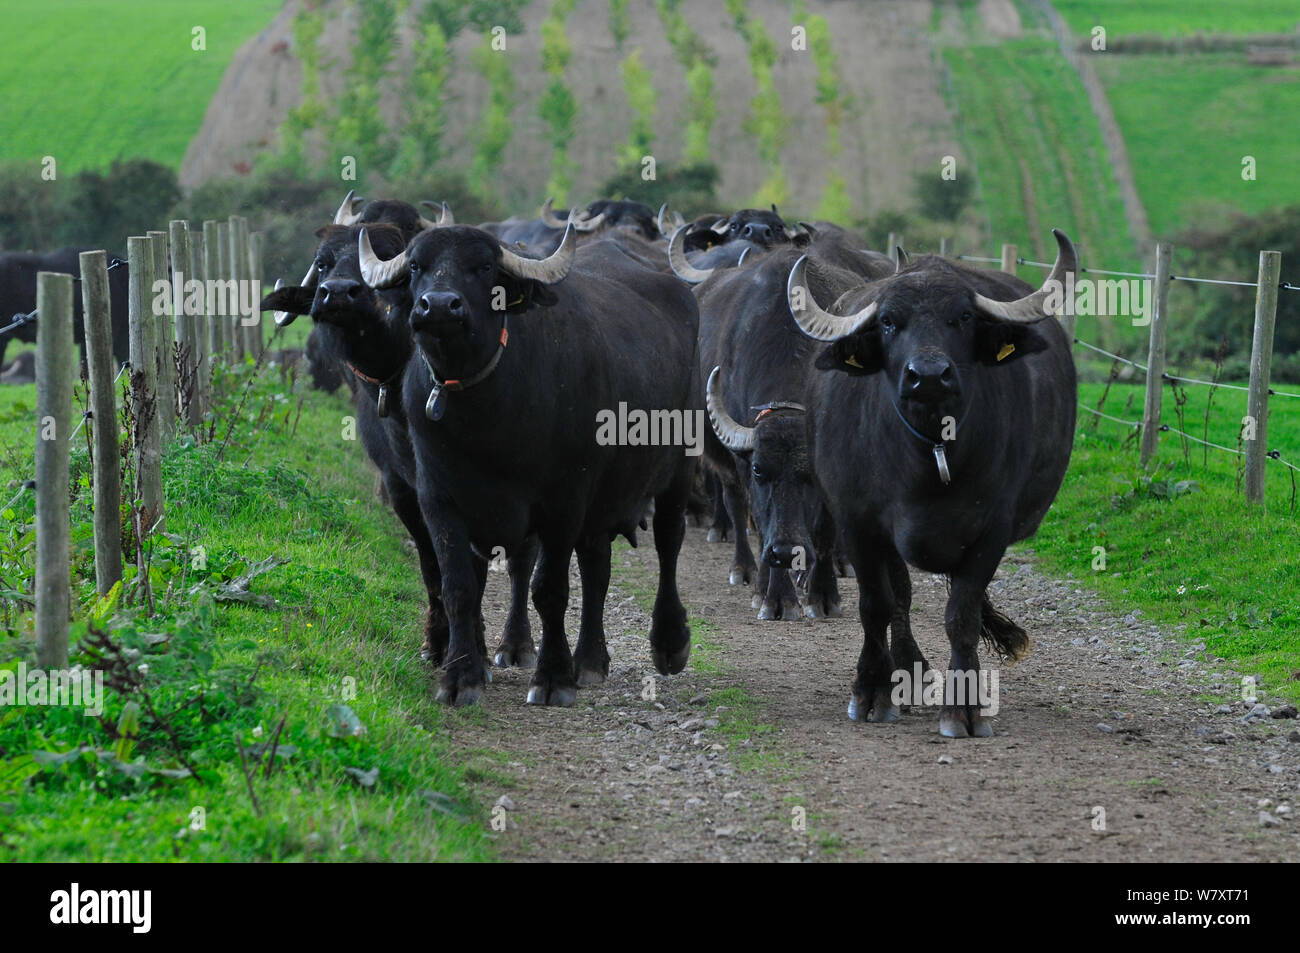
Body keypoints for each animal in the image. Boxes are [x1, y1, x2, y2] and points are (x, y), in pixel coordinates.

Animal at [261, 206, 535, 670]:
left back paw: (516, 646)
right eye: (323, 263)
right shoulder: (403, 487)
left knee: (525, 558)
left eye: (387, 255)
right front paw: (438, 642)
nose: (339, 294)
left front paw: (475, 648)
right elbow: (432, 564)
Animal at [356, 219, 702, 702]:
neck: (484, 417)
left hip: (679, 466)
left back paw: (669, 643)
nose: (438, 306)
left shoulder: (564, 498)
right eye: (417, 267)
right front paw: (461, 676)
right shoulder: (437, 499)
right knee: (597, 567)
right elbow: (458, 585)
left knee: (669, 543)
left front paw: (552, 678)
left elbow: (549, 588)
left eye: (483, 266)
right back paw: (590, 660)